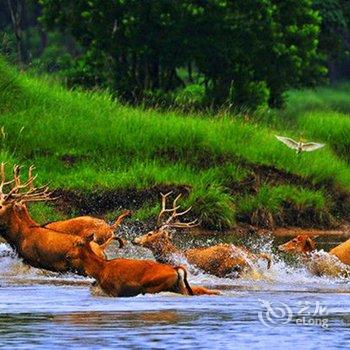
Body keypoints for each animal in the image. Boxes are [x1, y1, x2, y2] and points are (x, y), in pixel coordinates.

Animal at [64, 234, 220, 296]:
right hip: (180, 286)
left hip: (153, 286)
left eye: (77, 243)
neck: (100, 270)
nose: (67, 254)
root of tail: (176, 269)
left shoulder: (114, 291)